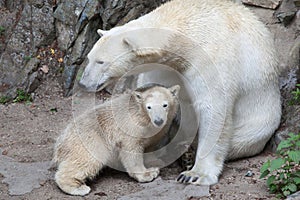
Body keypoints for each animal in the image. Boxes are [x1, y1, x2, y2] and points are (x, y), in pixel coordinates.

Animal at [79, 0, 282, 185]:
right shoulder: (166, 67)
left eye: (101, 61)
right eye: (89, 57)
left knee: (243, 138)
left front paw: (195, 174)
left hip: (260, 119)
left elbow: (213, 109)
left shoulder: (211, 57)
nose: (82, 82)